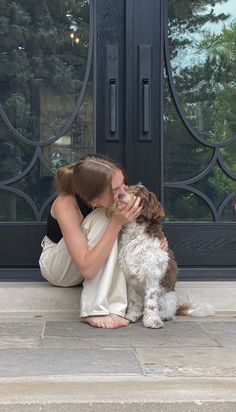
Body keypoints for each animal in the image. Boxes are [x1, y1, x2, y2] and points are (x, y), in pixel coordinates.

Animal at [118, 183, 181, 328]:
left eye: (138, 194)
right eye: (128, 188)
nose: (119, 194)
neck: (136, 235)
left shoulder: (152, 276)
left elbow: (151, 303)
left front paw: (153, 320)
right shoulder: (132, 277)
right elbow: (134, 300)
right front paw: (131, 316)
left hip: (168, 297)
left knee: (168, 310)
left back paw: (163, 316)